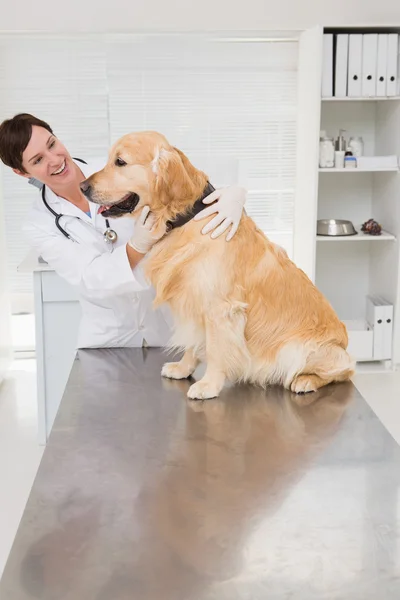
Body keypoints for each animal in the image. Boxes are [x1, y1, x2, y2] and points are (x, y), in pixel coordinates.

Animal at [80, 134, 354, 400]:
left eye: (120, 162)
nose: (82, 187)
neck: (183, 219)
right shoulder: (193, 302)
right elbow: (193, 342)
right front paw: (183, 368)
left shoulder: (221, 309)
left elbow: (216, 350)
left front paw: (209, 385)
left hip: (298, 349)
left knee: (345, 371)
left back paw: (305, 380)